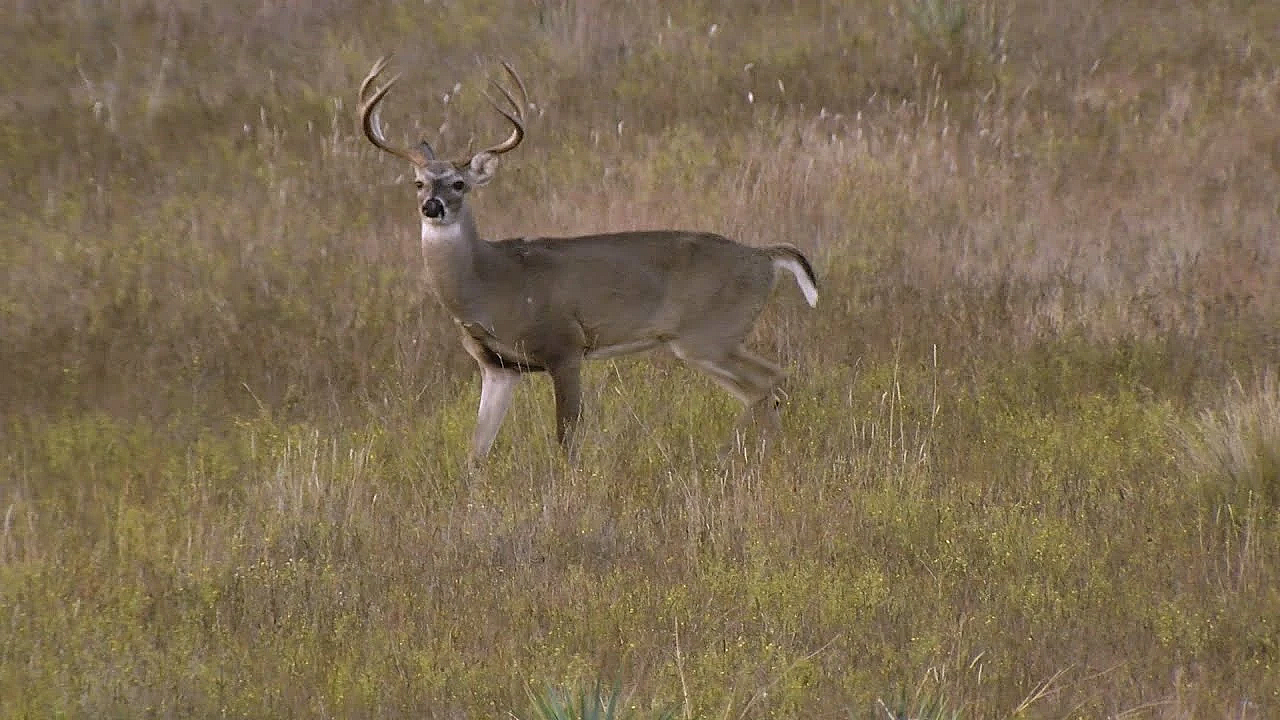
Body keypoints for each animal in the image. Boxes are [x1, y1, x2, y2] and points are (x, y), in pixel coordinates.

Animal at [357, 56, 818, 463]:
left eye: (458, 183)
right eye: (418, 183)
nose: (432, 207)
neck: (488, 285)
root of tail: (765, 257)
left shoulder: (565, 344)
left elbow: (567, 438)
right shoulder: (497, 366)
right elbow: (477, 450)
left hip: (709, 332)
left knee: (769, 382)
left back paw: (731, 457)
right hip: (708, 339)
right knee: (768, 387)